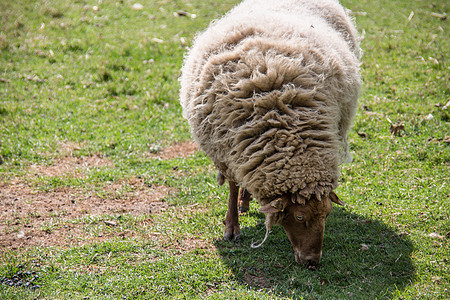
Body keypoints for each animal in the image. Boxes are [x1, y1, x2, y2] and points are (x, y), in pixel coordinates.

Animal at [179, 0, 362, 268]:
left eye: (327, 213)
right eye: (299, 217)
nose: (312, 262)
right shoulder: (226, 149)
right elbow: (232, 185)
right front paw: (231, 227)